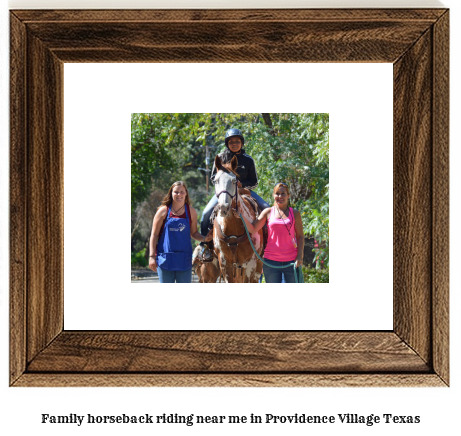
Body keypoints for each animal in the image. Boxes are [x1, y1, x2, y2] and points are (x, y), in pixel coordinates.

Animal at [211, 153, 264, 282]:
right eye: (215, 180)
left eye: (234, 181)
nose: (223, 207)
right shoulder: (225, 264)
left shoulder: (250, 264)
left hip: (257, 267)